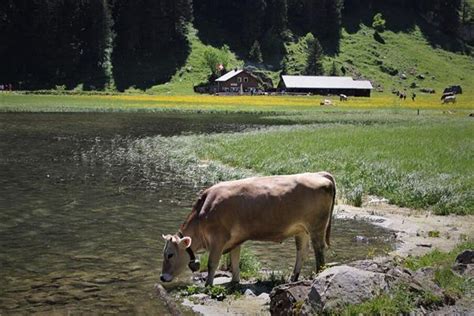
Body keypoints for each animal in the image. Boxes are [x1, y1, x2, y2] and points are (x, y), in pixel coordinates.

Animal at [161, 173, 336, 286]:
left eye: (170, 254)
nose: (162, 278)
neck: (203, 211)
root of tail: (320, 174)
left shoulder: (218, 240)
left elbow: (212, 263)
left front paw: (208, 286)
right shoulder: (235, 240)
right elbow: (234, 260)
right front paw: (234, 281)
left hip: (317, 227)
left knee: (319, 251)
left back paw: (318, 274)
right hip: (301, 229)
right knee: (302, 251)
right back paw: (294, 278)